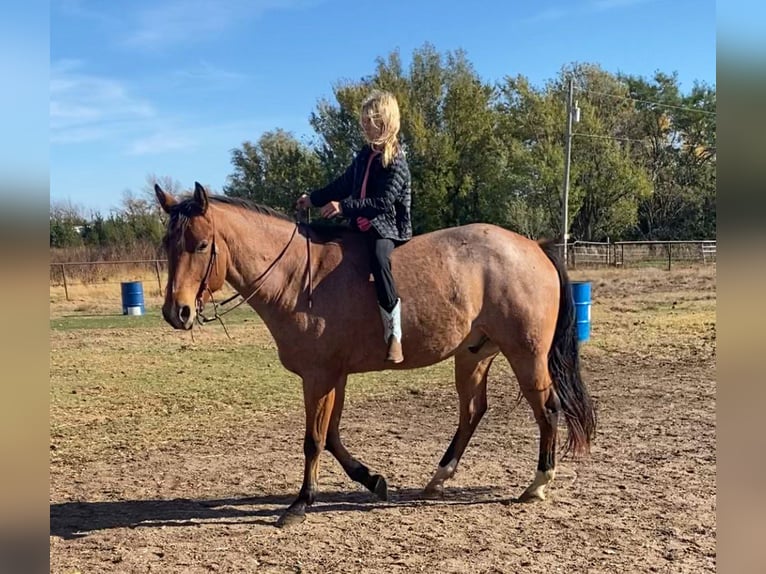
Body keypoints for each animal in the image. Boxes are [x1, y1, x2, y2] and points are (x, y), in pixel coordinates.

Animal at [154, 181, 596, 527]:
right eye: (168, 245)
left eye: (202, 244)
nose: (177, 312)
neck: (298, 277)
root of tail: (533, 247)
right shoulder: (335, 376)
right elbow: (332, 436)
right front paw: (372, 479)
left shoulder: (318, 376)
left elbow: (314, 440)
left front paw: (300, 503)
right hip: (474, 354)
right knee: (472, 411)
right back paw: (439, 477)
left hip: (526, 354)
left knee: (548, 409)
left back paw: (538, 483)